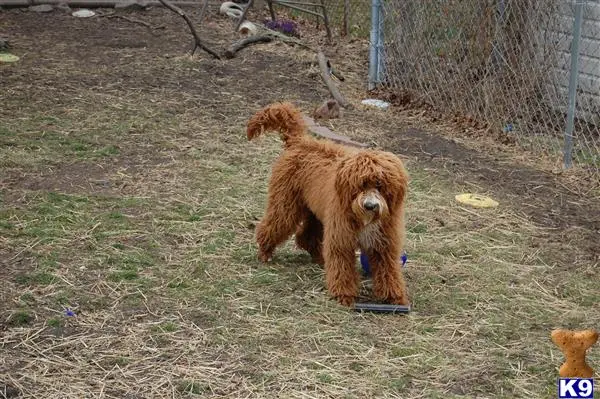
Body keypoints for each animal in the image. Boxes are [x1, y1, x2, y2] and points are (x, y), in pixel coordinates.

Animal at [246, 102, 410, 306]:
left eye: (380, 185)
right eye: (361, 185)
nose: (370, 206)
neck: (365, 219)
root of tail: (300, 141)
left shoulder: (384, 245)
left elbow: (389, 271)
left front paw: (394, 296)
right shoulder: (341, 239)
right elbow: (342, 267)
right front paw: (344, 295)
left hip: (316, 212)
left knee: (306, 236)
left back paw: (319, 258)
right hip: (286, 204)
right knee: (273, 226)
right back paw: (265, 252)